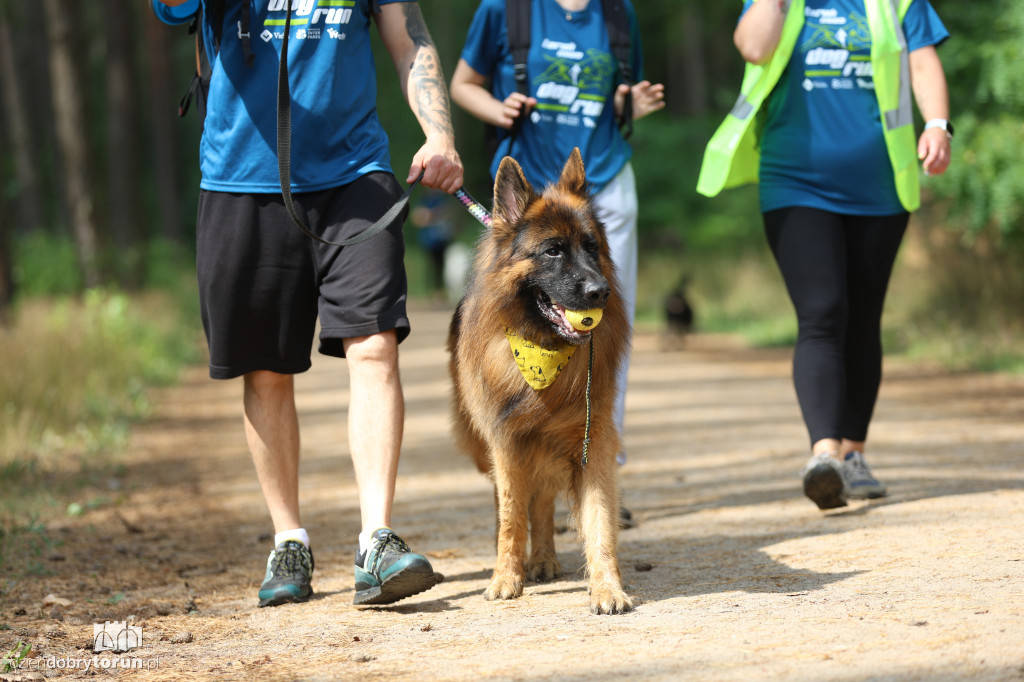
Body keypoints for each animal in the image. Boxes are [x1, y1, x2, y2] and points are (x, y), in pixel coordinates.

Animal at [448, 147, 630, 610]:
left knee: (544, 501)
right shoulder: (506, 443)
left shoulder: (592, 440)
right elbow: (512, 517)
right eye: (553, 251)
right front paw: (505, 577)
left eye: (592, 247)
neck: (542, 350)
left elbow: (599, 519)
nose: (600, 292)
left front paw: (608, 586)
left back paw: (545, 558)